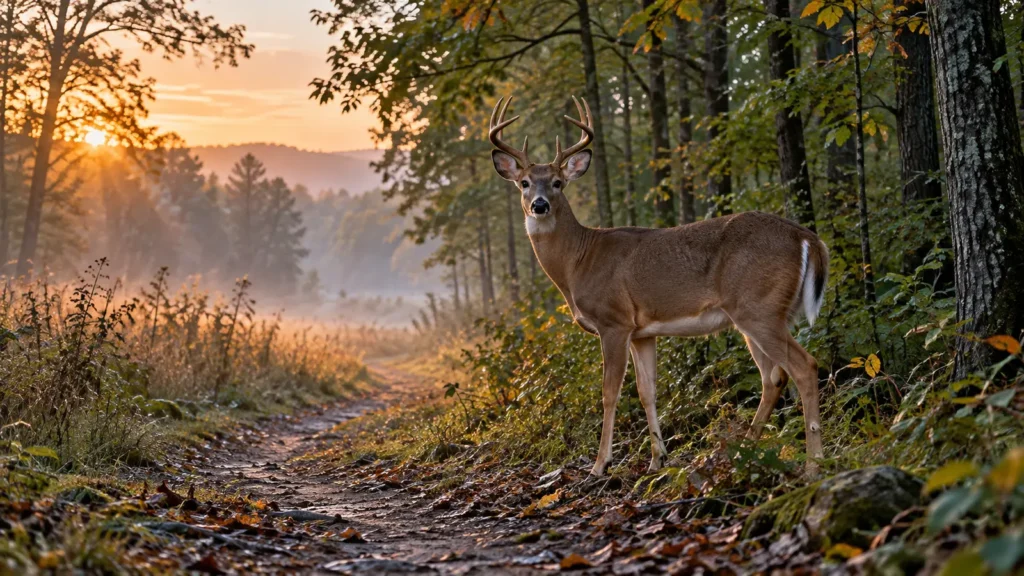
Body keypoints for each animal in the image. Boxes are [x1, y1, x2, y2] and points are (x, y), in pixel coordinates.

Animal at [488, 96, 829, 477]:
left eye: (558, 182)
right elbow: (646, 391)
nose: (540, 205)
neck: (578, 261)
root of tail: (807, 238)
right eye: (524, 182)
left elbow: (609, 393)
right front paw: (656, 459)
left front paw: (600, 464)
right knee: (773, 378)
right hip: (756, 315)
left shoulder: (614, 321)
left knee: (804, 367)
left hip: (759, 308)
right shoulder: (641, 332)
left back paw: (813, 464)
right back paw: (744, 451)